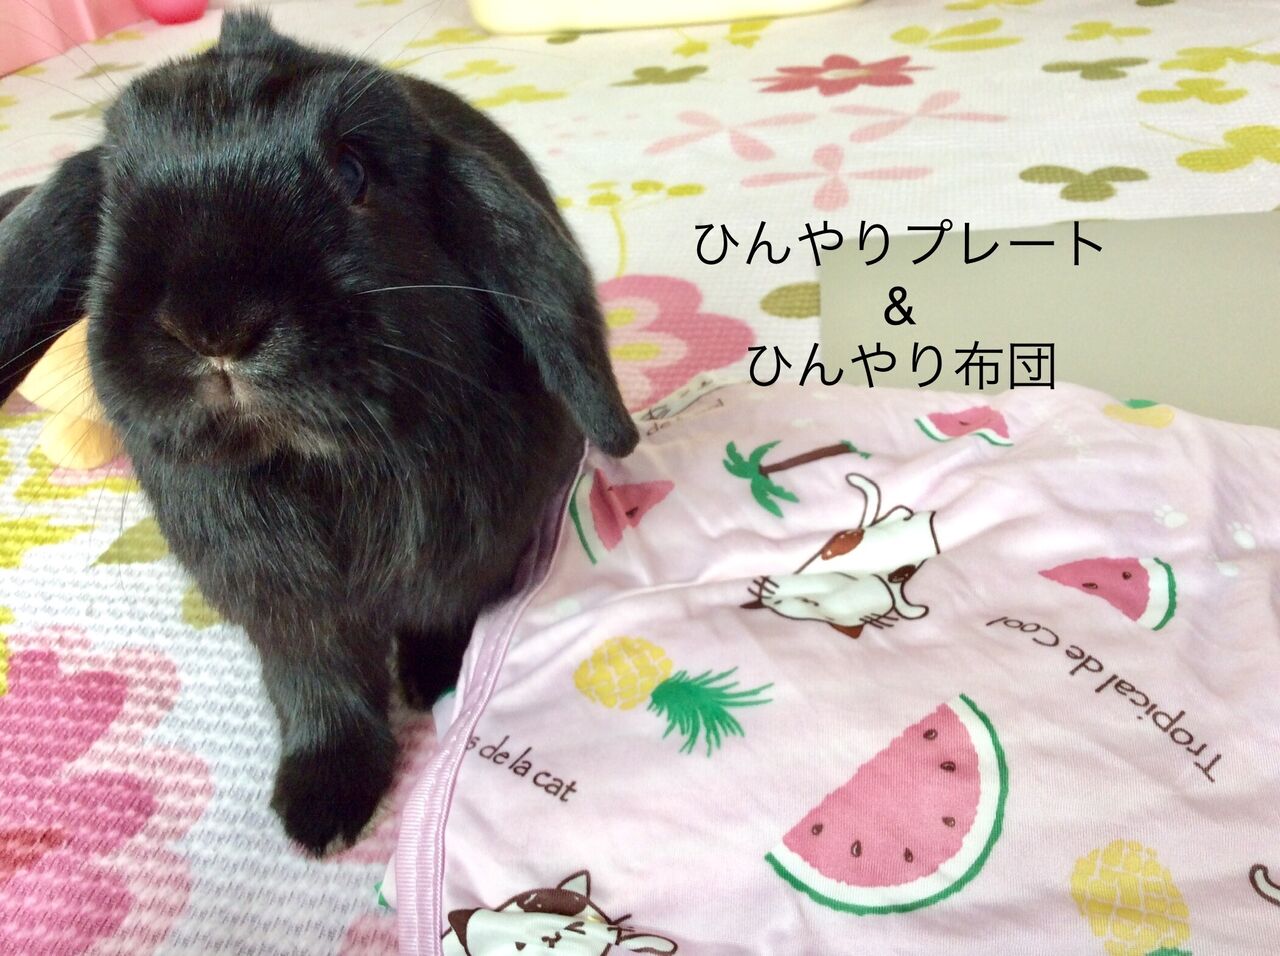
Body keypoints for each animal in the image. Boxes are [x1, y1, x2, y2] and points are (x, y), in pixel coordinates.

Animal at [0, 11, 638, 854]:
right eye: (114, 193)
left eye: (353, 171)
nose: (214, 326)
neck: (320, 470)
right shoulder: (288, 616)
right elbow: (320, 691)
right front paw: (321, 807)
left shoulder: (466, 561)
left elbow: (446, 616)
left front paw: (436, 680)